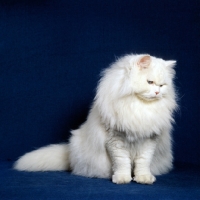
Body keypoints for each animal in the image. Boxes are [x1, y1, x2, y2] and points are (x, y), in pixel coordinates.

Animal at [14, 53, 177, 184]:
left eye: (162, 85)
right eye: (150, 82)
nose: (157, 92)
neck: (139, 107)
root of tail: (69, 153)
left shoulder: (149, 140)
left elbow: (143, 163)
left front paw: (143, 178)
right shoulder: (116, 141)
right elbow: (122, 162)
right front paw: (122, 178)